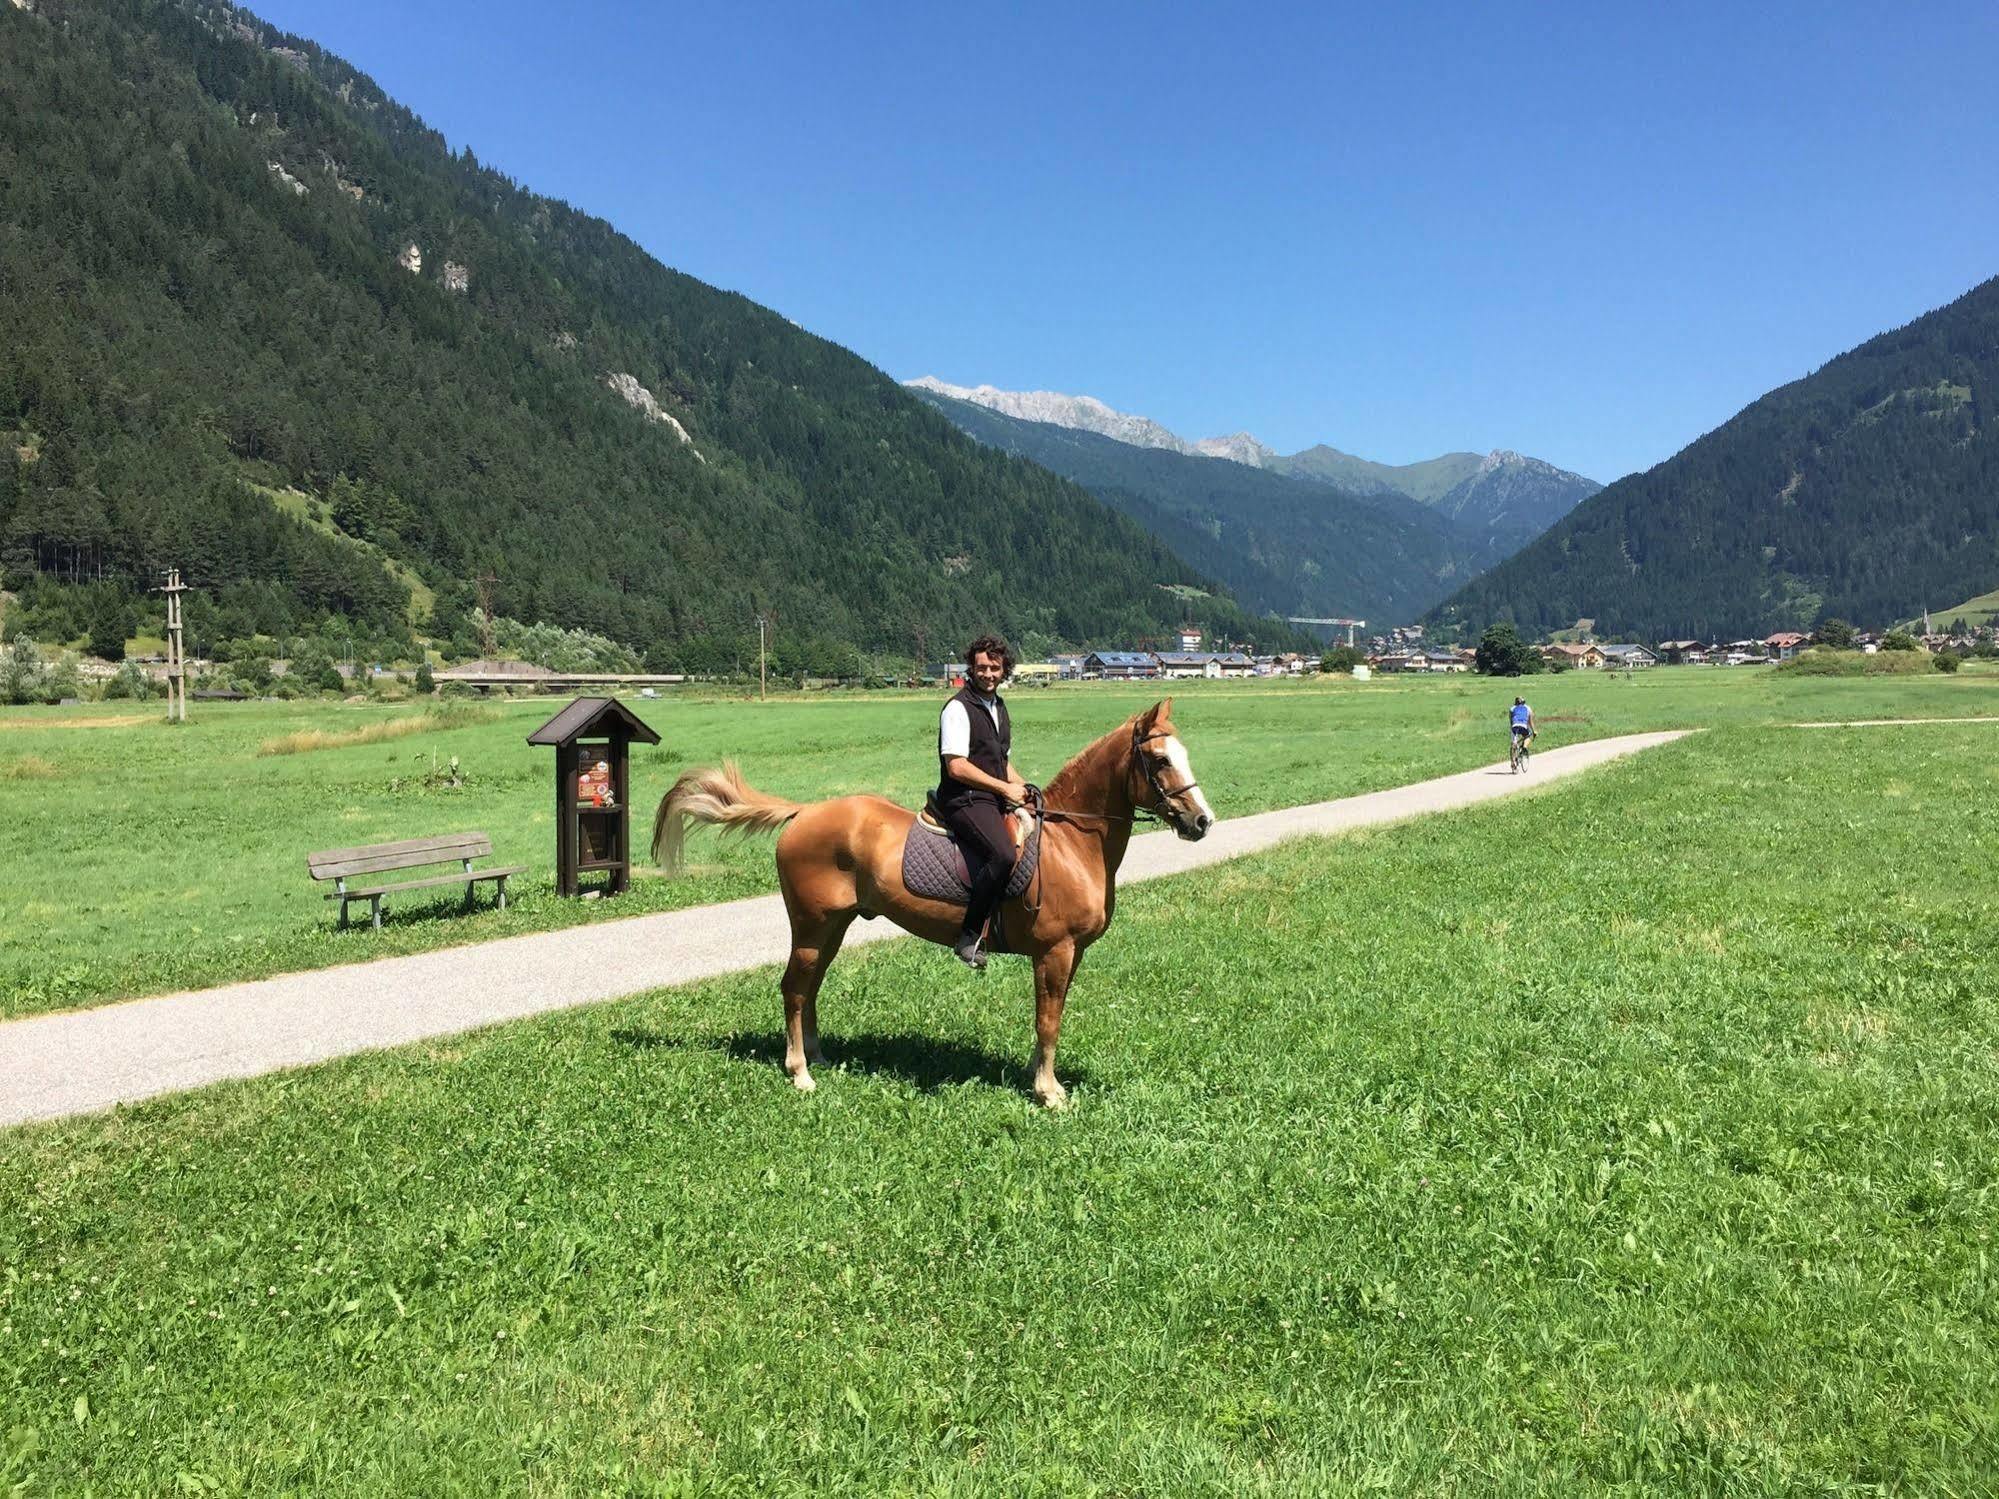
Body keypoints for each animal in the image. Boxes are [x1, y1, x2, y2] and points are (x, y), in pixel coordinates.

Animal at [655, 703, 1215, 1103]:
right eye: (1160, 759)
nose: (1202, 822)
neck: (1070, 843)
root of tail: (804, 813)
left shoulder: (1068, 954)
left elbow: (1049, 1017)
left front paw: (1038, 1075)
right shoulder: (1055, 951)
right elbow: (1049, 1019)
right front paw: (1048, 1092)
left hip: (832, 928)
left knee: (809, 987)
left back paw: (816, 1056)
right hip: (812, 927)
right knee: (794, 988)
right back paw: (799, 1073)